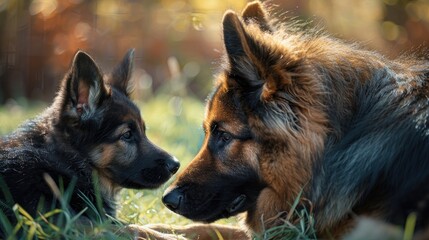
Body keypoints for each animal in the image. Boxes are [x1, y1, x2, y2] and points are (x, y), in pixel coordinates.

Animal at [0, 50, 179, 225]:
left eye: (143, 131)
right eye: (127, 135)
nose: (176, 165)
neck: (68, 162)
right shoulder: (81, 224)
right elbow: (140, 229)